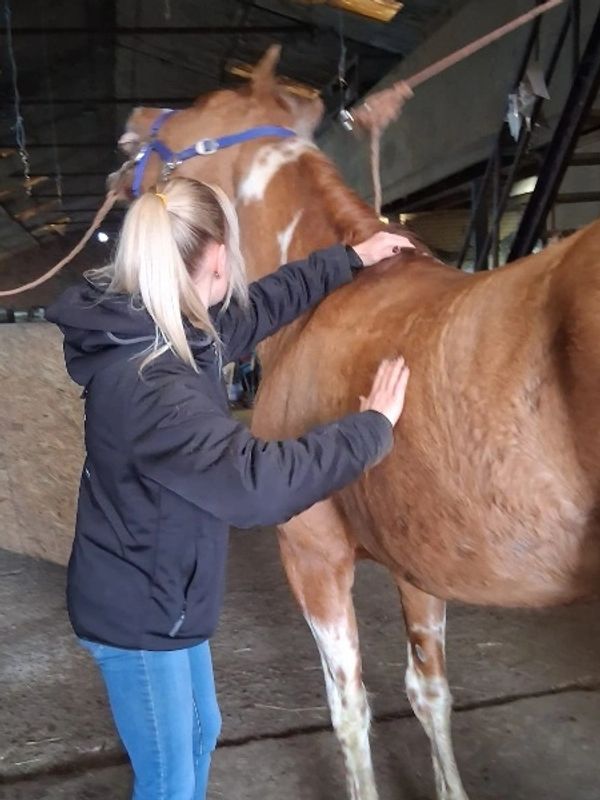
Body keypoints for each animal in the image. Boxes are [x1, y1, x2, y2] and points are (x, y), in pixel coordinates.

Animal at [108, 45, 600, 800]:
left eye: (195, 110)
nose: (131, 124)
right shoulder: (419, 559)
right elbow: (429, 693)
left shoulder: (315, 555)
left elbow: (350, 708)